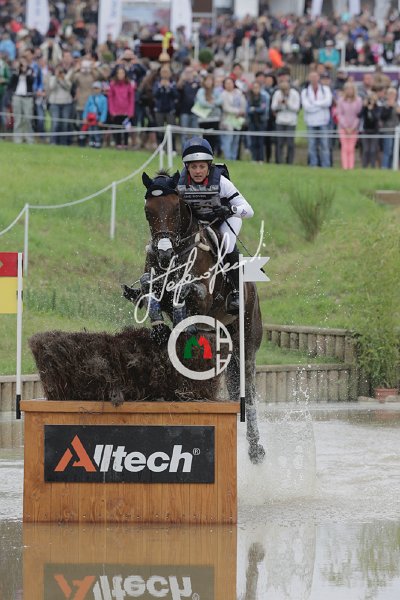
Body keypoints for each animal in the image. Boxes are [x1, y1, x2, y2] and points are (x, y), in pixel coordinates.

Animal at [123, 170, 265, 464]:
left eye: (176, 209)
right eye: (147, 211)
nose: (164, 252)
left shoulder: (202, 295)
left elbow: (190, 288)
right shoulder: (154, 281)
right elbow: (149, 287)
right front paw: (160, 328)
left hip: (247, 339)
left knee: (249, 389)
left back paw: (256, 449)